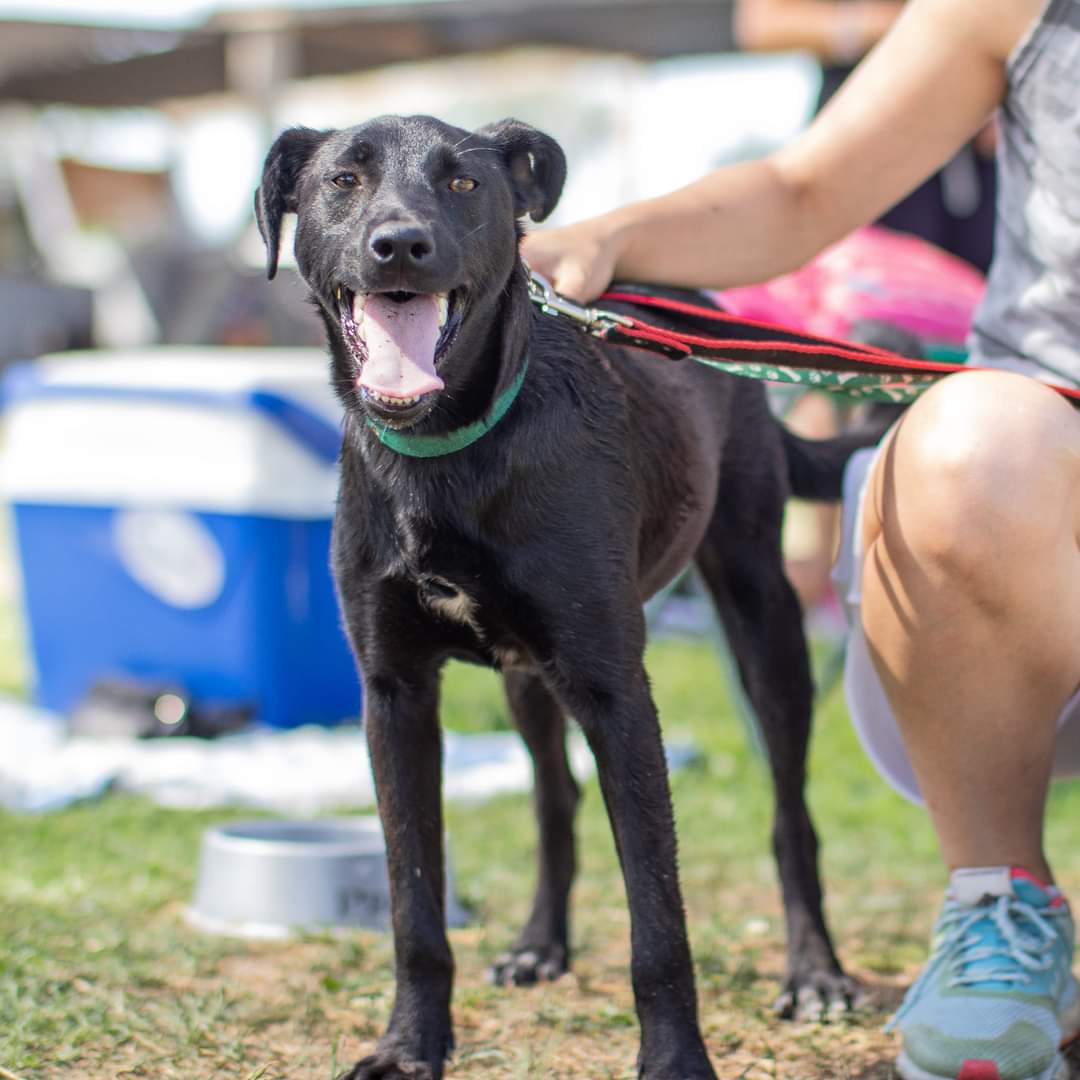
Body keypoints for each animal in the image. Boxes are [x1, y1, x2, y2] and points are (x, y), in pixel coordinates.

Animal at [257, 113, 872, 1075]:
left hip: (762, 615)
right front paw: (410, 1044)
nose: (400, 244)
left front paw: (675, 1062)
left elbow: (658, 922)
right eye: (343, 181)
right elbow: (413, 905)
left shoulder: (615, 691)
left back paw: (816, 974)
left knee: (789, 815)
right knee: (554, 799)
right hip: (526, 677)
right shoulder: (394, 694)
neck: (450, 452)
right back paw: (541, 944)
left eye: (464, 184)